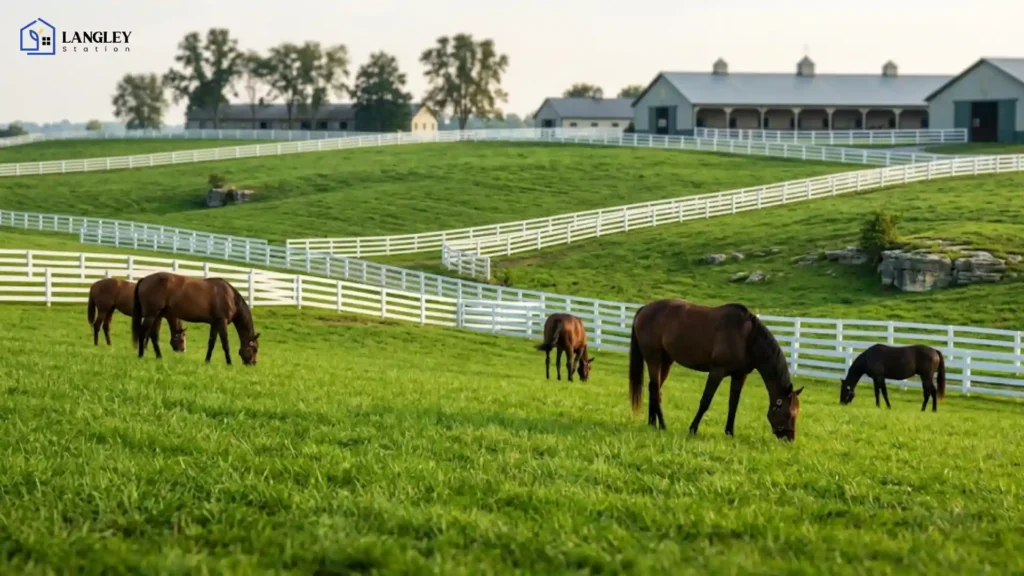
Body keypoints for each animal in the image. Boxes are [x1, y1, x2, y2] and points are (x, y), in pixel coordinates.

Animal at [628, 299, 804, 441]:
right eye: (789, 413)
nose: (789, 439)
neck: (746, 338)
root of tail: (644, 308)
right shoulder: (717, 372)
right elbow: (705, 401)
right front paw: (693, 429)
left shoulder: (740, 375)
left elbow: (733, 404)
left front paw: (730, 432)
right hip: (654, 359)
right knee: (656, 390)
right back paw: (663, 425)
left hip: (666, 361)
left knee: (654, 388)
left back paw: (652, 423)